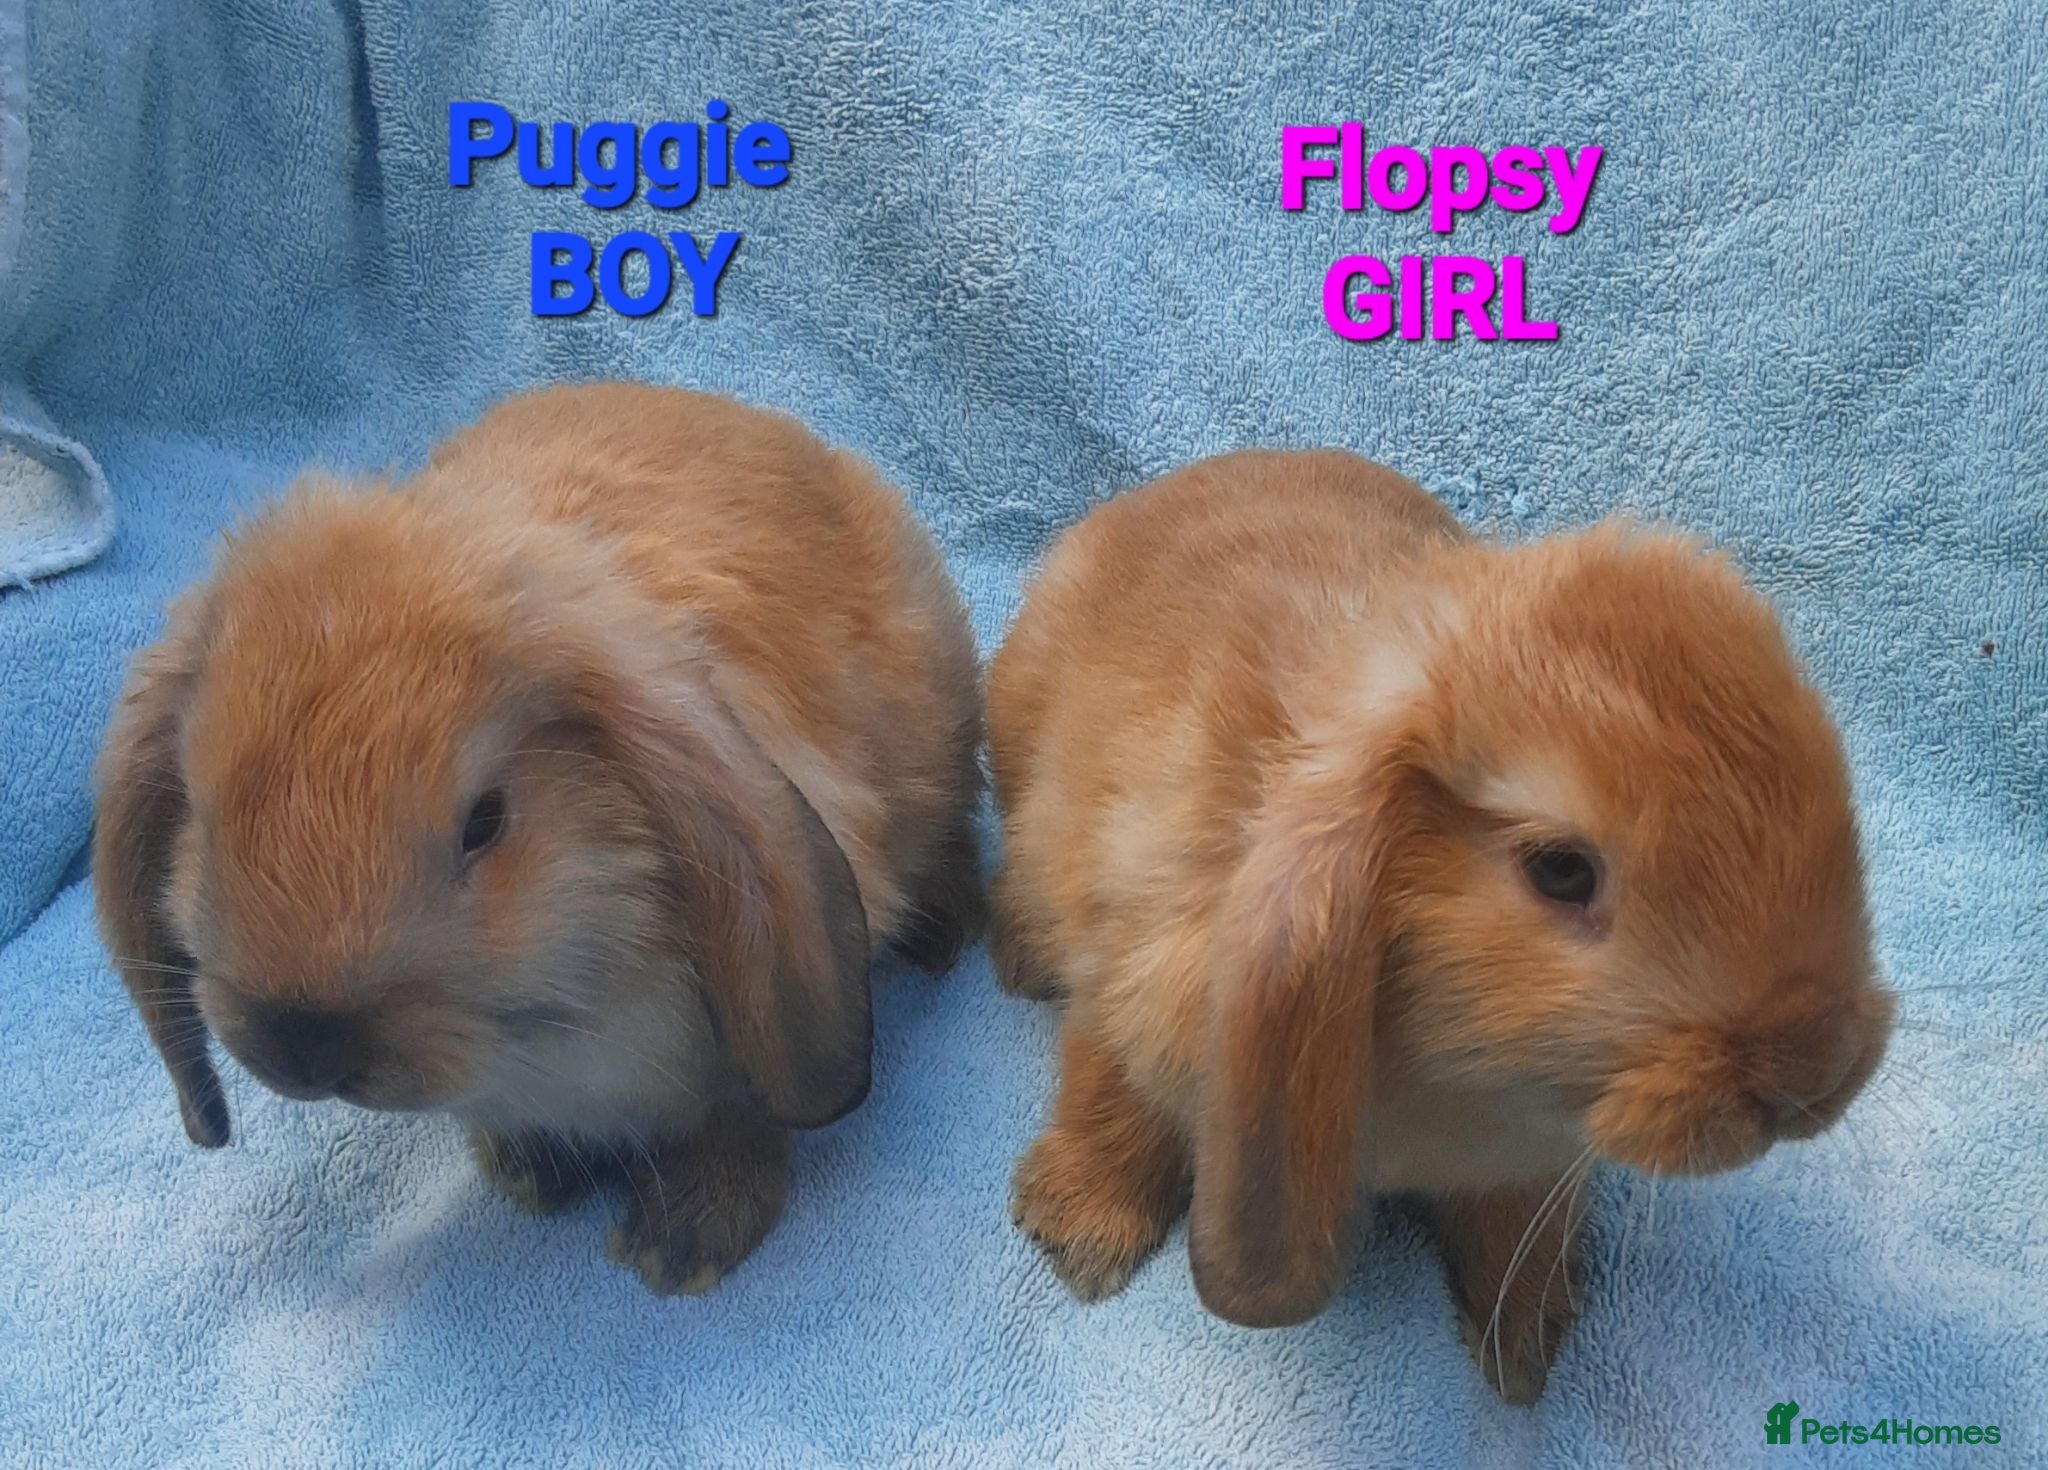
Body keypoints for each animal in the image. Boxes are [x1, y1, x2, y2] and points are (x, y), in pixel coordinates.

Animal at [94, 382, 985, 1295]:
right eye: (200, 809)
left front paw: (682, 1244)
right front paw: (528, 1172)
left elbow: (741, 1121)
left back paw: (947, 933)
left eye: (485, 822)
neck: (554, 1036)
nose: (299, 1048)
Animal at [988, 448, 1894, 1402]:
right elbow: (1108, 1094)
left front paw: (1526, 1348)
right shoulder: (1130, 980)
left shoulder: (1530, 1160)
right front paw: (1079, 1236)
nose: (1817, 1068)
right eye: (1560, 870)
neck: (1458, 1073)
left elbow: (1514, 1230)